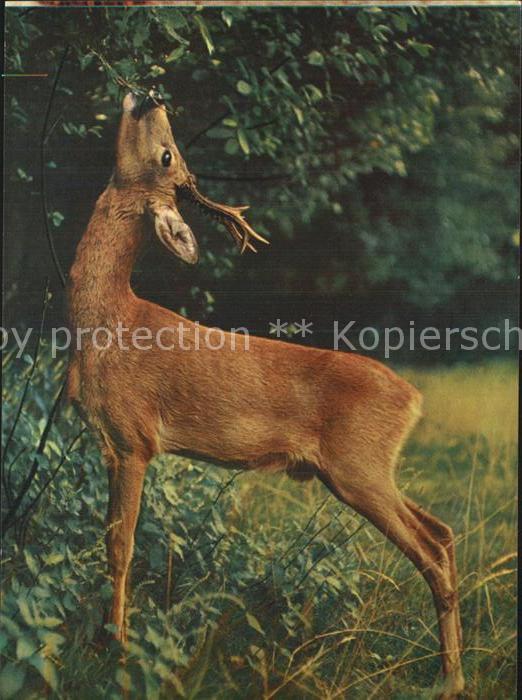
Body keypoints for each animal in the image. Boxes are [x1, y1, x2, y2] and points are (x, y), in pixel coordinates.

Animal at [66, 90, 464, 698]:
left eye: (166, 154)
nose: (150, 95)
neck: (108, 320)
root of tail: (414, 399)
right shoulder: (110, 443)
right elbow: (111, 537)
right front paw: (102, 640)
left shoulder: (134, 438)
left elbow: (121, 545)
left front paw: (117, 648)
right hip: (361, 470)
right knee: (441, 533)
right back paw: (451, 669)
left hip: (359, 466)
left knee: (431, 553)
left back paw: (451, 679)